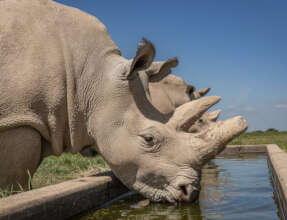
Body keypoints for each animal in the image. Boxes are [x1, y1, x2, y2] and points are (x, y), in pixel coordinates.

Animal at [0, 0, 248, 203]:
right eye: (148, 139)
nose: (191, 193)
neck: (92, 79)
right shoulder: (18, 118)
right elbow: (16, 178)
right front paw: (13, 196)